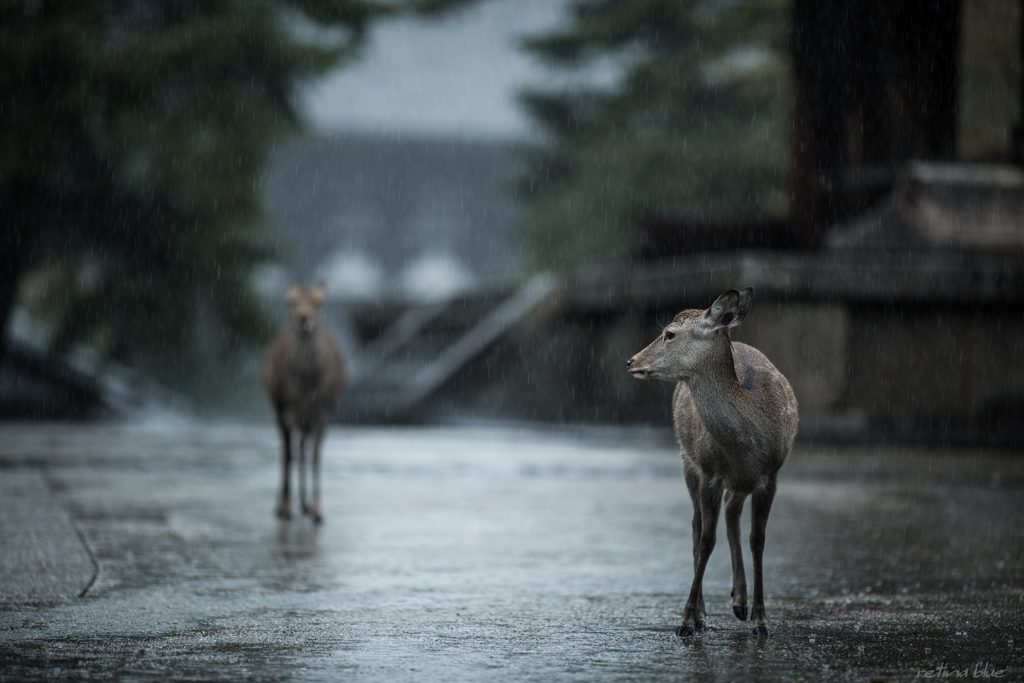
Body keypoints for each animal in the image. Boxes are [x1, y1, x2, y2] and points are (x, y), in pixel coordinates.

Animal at [262, 282, 346, 524]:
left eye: (320, 302)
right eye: (289, 301)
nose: (303, 318)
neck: (305, 387)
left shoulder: (324, 411)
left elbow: (316, 457)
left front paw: (317, 509)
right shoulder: (282, 407)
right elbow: (287, 455)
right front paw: (284, 507)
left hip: (307, 418)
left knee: (303, 448)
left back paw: (305, 504)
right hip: (283, 411)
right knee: (291, 450)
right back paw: (289, 504)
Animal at [622, 286, 798, 634]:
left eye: (669, 333)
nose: (631, 360)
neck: (748, 443)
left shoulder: (771, 474)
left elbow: (758, 540)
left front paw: (761, 619)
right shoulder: (709, 471)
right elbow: (706, 539)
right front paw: (688, 619)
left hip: (738, 481)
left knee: (731, 512)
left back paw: (740, 601)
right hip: (687, 461)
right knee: (696, 524)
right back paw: (712, 610)